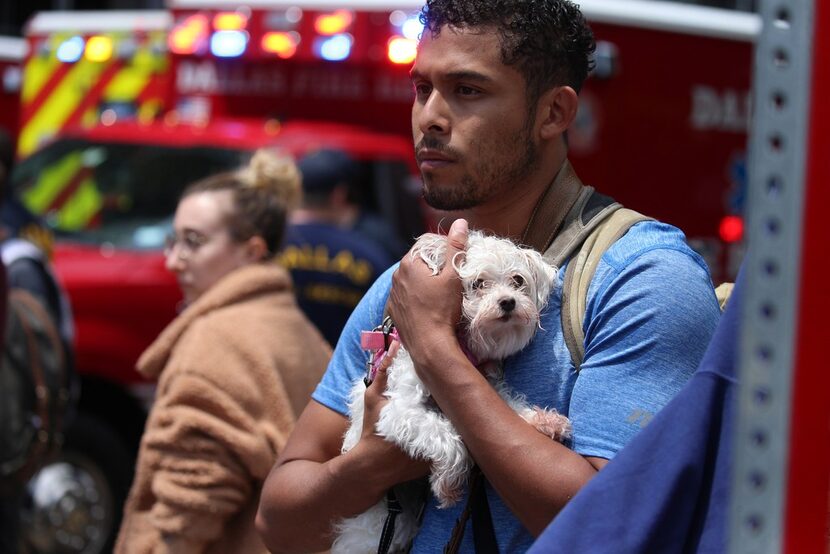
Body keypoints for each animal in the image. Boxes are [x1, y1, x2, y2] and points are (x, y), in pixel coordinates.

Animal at [334, 230, 576, 552]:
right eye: (478, 283)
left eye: (517, 280)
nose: (508, 302)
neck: (463, 347)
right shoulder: (398, 411)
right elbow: (448, 436)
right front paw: (448, 483)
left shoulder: (484, 385)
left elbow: (508, 404)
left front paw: (543, 419)